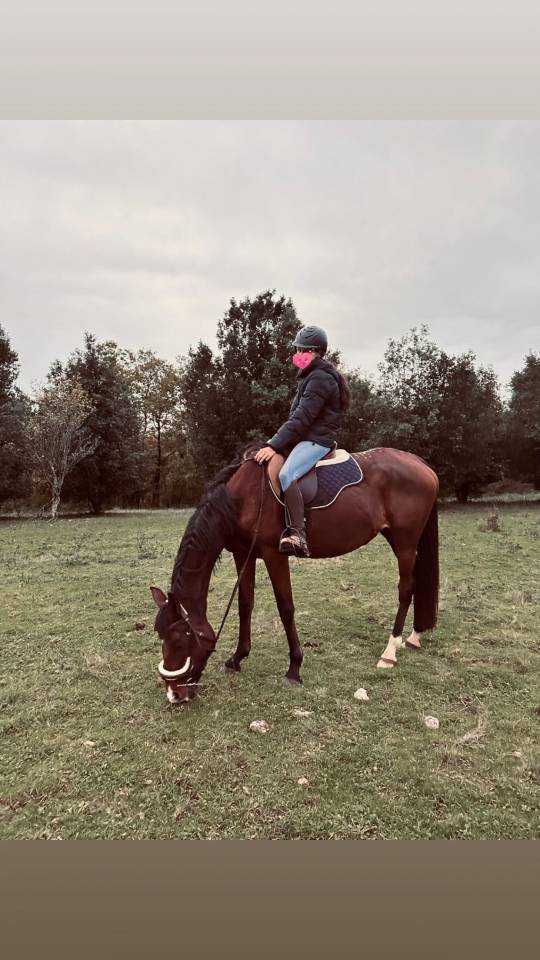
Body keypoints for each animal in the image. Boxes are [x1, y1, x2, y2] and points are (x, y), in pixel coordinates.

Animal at [150, 443, 439, 704]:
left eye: (179, 642)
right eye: (161, 638)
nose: (174, 694)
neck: (243, 497)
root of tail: (421, 464)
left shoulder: (274, 555)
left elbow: (285, 608)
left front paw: (294, 669)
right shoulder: (243, 554)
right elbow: (245, 604)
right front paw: (237, 658)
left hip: (405, 542)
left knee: (405, 589)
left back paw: (390, 651)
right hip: (397, 538)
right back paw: (413, 637)